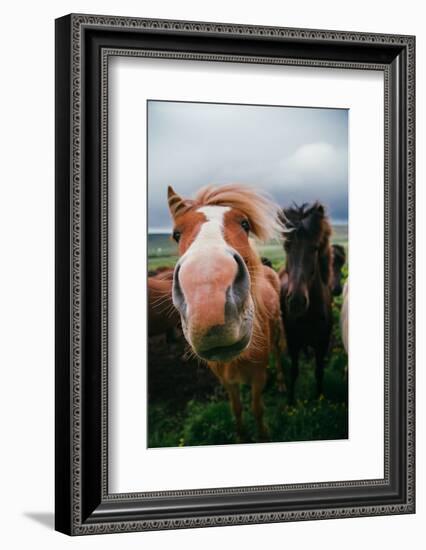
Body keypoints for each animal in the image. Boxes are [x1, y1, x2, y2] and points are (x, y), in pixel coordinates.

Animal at [168, 183, 284, 442]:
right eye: (176, 234)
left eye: (245, 224)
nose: (208, 299)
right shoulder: (227, 382)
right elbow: (237, 409)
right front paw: (241, 437)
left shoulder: (258, 376)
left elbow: (257, 408)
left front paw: (263, 436)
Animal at [278, 203, 334, 406]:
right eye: (287, 246)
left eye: (315, 248)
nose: (296, 301)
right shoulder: (293, 342)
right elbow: (294, 371)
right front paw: (290, 402)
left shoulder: (323, 344)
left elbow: (319, 372)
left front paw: (319, 398)